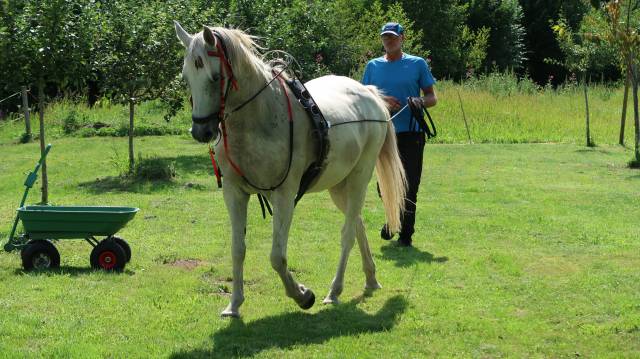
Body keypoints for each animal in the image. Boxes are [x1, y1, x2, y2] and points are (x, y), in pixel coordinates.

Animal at [175, 22, 404, 318]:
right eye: (186, 76)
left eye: (215, 77)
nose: (201, 131)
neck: (258, 120)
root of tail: (370, 94)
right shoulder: (234, 193)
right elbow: (238, 249)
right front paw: (234, 304)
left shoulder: (284, 194)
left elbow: (277, 256)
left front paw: (302, 295)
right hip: (338, 187)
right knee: (357, 225)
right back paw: (371, 278)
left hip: (358, 180)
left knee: (347, 234)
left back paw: (334, 291)